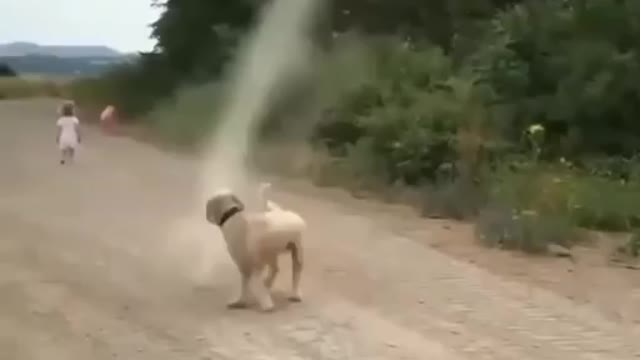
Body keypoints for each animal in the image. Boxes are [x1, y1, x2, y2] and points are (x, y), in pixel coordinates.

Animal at [205, 181, 304, 310]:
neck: (233, 217)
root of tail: (283, 211)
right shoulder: (246, 266)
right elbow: (246, 286)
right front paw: (240, 301)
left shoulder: (250, 266)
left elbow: (253, 285)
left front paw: (266, 303)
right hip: (271, 253)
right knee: (275, 269)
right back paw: (269, 283)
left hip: (297, 252)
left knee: (295, 273)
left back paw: (294, 293)